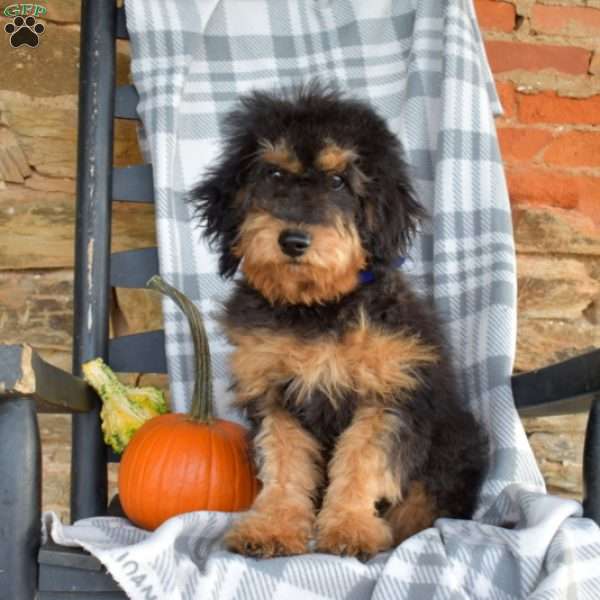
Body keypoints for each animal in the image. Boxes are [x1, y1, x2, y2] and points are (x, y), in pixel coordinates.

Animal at [192, 83, 488, 556]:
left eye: (337, 181)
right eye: (274, 175)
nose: (293, 240)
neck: (318, 309)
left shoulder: (386, 395)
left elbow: (361, 462)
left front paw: (350, 527)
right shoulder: (278, 396)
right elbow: (285, 466)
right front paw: (273, 527)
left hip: (454, 442)